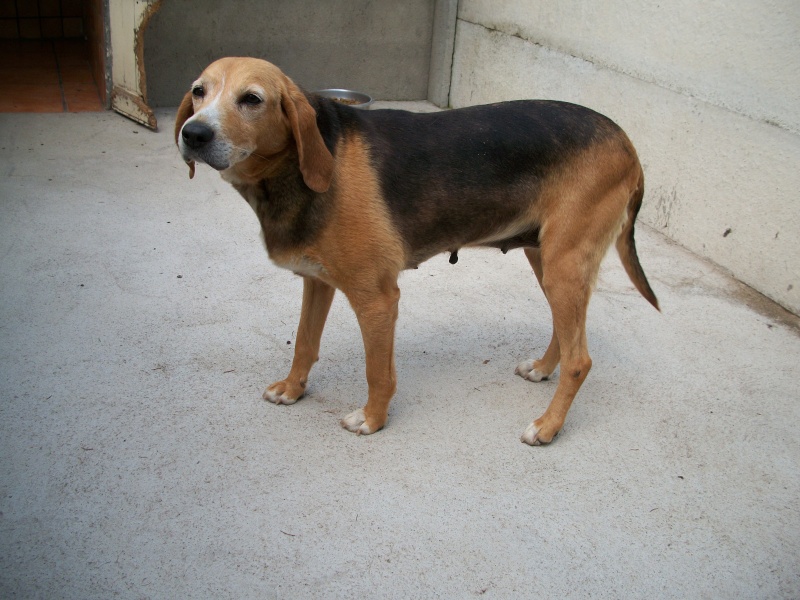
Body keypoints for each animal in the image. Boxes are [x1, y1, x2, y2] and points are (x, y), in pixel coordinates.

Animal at [178, 57, 660, 446]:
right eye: (199, 91)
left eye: (252, 99)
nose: (193, 133)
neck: (293, 171)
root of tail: (626, 140)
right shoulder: (317, 282)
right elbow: (304, 343)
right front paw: (294, 390)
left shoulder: (376, 298)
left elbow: (378, 372)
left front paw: (373, 420)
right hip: (548, 260)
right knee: (566, 330)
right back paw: (543, 369)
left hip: (563, 265)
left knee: (581, 360)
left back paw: (547, 427)